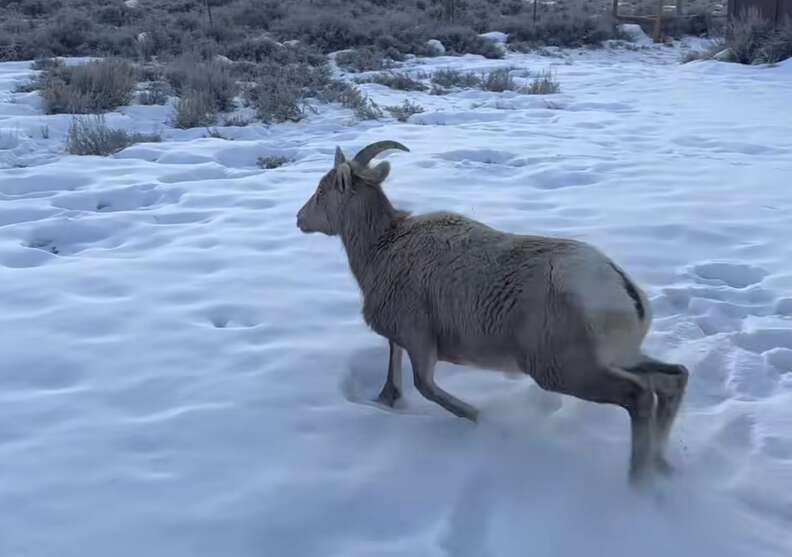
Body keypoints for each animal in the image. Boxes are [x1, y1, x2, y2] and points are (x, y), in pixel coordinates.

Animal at [296, 140, 689, 483]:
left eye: (321, 191)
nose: (300, 219)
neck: (381, 247)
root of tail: (622, 288)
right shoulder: (406, 339)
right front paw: (387, 399)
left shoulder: (420, 338)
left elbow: (425, 385)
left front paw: (478, 417)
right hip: (619, 357)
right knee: (672, 379)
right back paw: (662, 465)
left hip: (563, 370)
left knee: (639, 396)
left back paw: (639, 481)